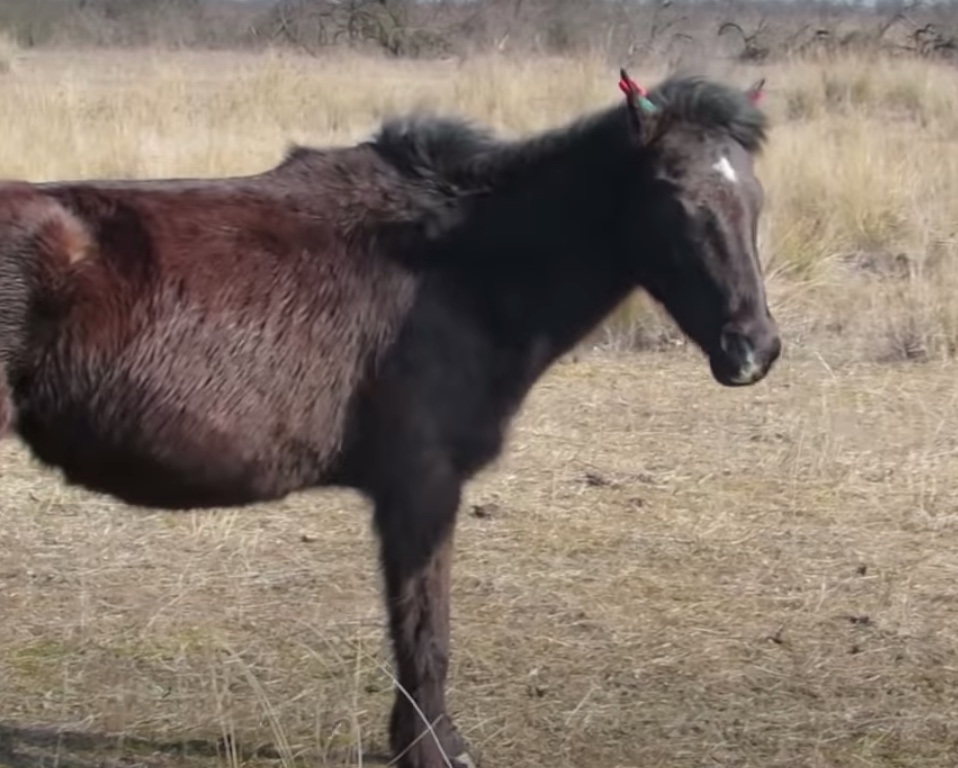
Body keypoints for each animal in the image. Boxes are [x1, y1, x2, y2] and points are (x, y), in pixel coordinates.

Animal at [0, 69, 784, 764]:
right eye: (672, 196)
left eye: (753, 195)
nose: (753, 349)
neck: (459, 266)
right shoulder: (422, 486)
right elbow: (423, 630)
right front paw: (432, 749)